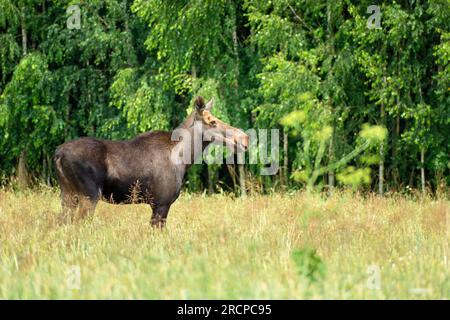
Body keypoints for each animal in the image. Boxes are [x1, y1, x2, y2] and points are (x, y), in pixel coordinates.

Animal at [54, 97, 250, 228]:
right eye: (213, 121)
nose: (244, 138)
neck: (184, 159)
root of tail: (58, 154)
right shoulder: (161, 203)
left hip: (68, 194)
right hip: (89, 195)